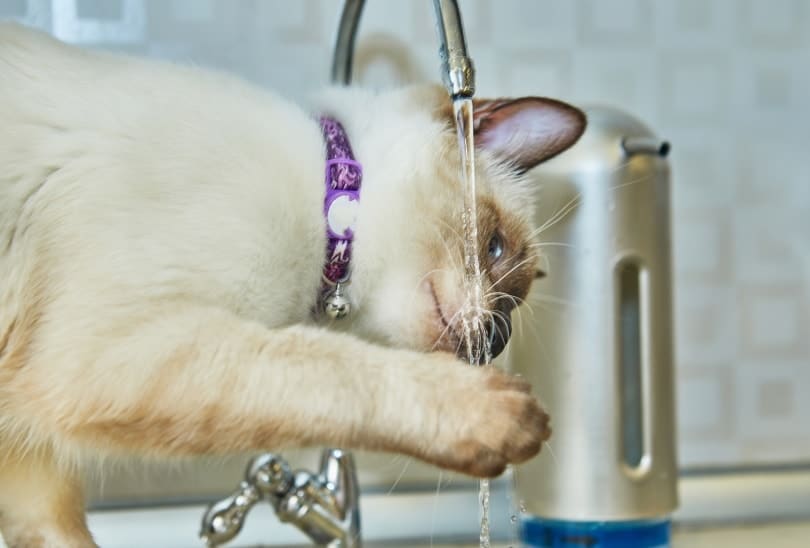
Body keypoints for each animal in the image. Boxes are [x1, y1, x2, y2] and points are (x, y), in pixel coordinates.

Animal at [0, 22, 584, 548]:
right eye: (495, 249)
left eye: (514, 303)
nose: (498, 340)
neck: (326, 202)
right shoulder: (106, 352)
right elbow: (333, 373)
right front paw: (508, 416)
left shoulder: (28, 447)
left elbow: (57, 529)